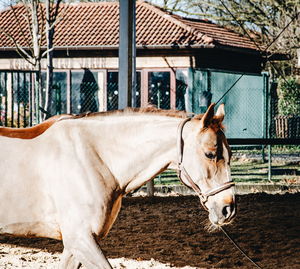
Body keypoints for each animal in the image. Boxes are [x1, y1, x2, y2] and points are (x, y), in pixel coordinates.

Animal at [0, 102, 234, 266]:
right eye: (210, 154)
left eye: (230, 154)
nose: (228, 209)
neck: (94, 157)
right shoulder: (80, 238)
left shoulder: (75, 244)